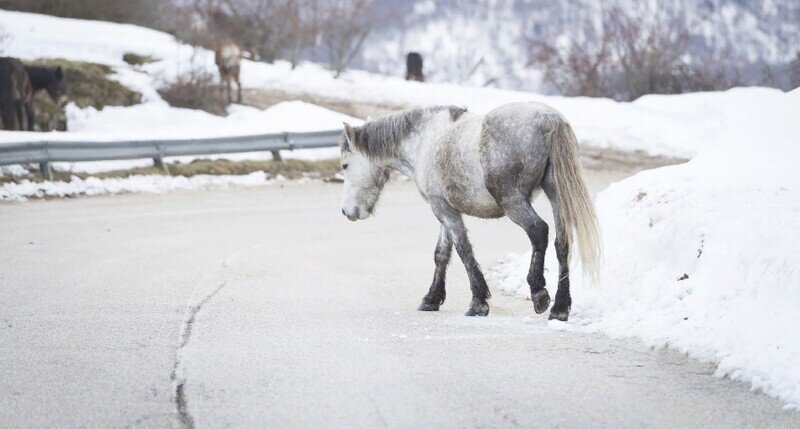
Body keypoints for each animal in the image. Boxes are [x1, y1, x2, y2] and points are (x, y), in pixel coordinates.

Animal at [338, 102, 600, 320]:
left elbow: (463, 250)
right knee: (562, 243)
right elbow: (442, 253)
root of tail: (549, 119)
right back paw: (560, 308)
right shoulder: (445, 209)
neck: (423, 139)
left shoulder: (442, 209)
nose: (347, 211)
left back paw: (538, 292)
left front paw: (478, 302)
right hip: (556, 194)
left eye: (345, 165)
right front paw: (431, 299)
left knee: (539, 231)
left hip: (513, 201)